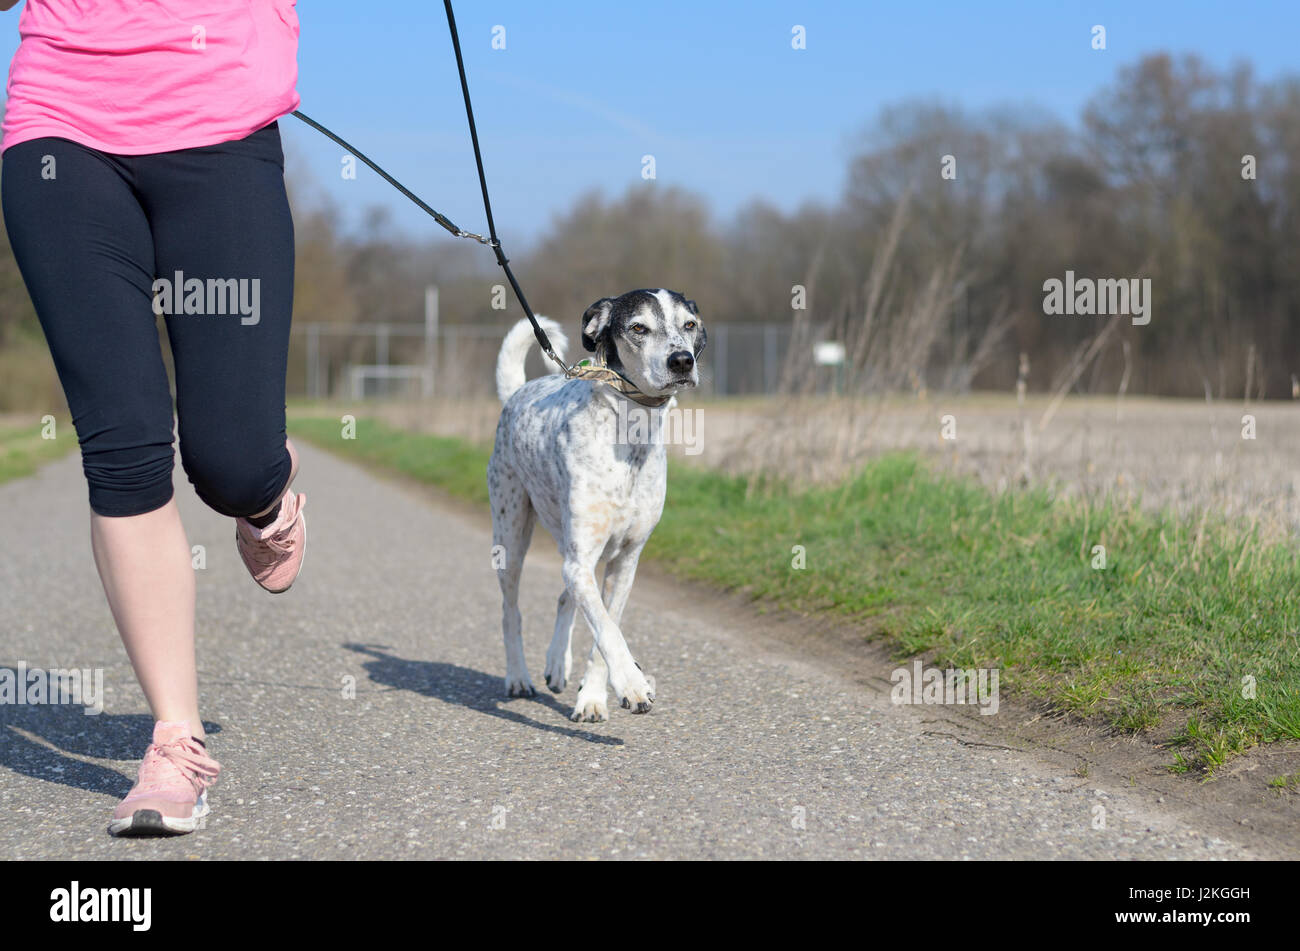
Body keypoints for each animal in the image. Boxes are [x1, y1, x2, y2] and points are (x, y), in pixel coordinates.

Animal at [488, 288, 707, 722]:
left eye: (689, 324)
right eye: (638, 327)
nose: (681, 361)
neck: (631, 437)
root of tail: (517, 393)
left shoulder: (625, 562)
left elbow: (606, 629)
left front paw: (592, 695)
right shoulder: (580, 559)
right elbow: (607, 631)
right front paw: (631, 683)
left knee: (565, 597)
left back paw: (557, 664)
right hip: (511, 538)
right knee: (510, 611)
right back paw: (518, 676)